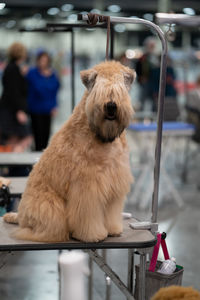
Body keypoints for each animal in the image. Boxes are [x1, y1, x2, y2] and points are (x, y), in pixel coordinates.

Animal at [3, 59, 136, 243]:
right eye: (98, 89)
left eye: (120, 88)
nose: (110, 105)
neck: (99, 135)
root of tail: (20, 215)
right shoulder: (87, 187)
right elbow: (89, 216)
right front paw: (93, 235)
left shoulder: (114, 181)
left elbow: (111, 212)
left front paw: (113, 229)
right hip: (51, 206)